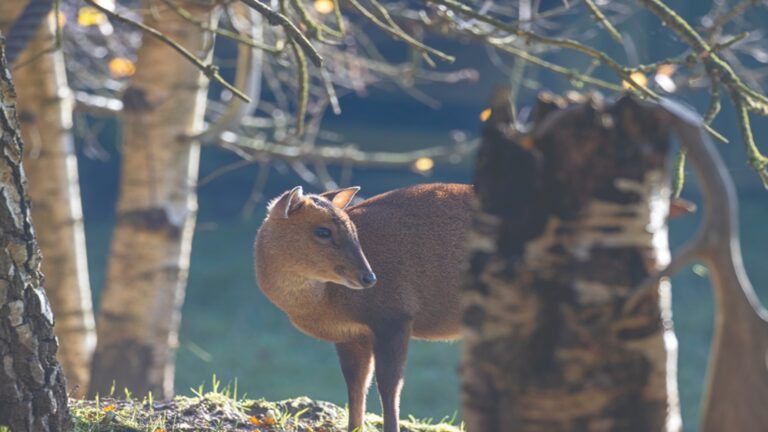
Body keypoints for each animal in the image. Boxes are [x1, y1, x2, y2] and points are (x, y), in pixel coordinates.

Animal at [254, 183, 473, 432]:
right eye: (323, 232)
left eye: (353, 230)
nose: (369, 277)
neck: (327, 302)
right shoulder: (350, 334)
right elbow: (356, 385)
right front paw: (354, 427)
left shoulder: (394, 315)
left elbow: (389, 387)